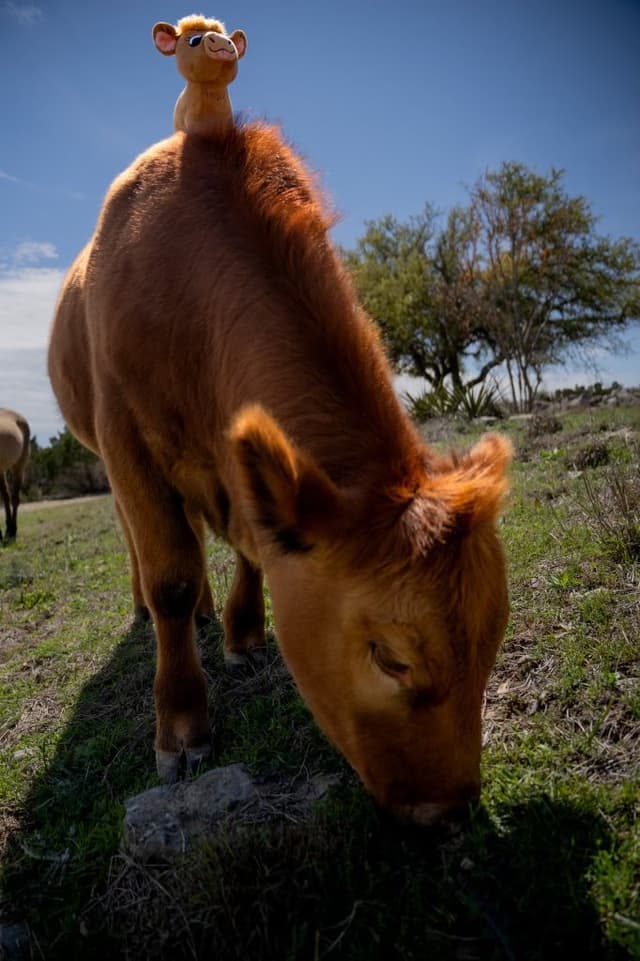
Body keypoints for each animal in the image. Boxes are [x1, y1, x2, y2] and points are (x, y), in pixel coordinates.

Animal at [48, 123, 511, 825]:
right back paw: (147, 609)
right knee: (144, 544)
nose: (449, 809)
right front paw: (181, 728)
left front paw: (241, 633)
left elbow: (250, 549)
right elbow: (171, 577)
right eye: (390, 658)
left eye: (493, 639)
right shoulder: (124, 436)